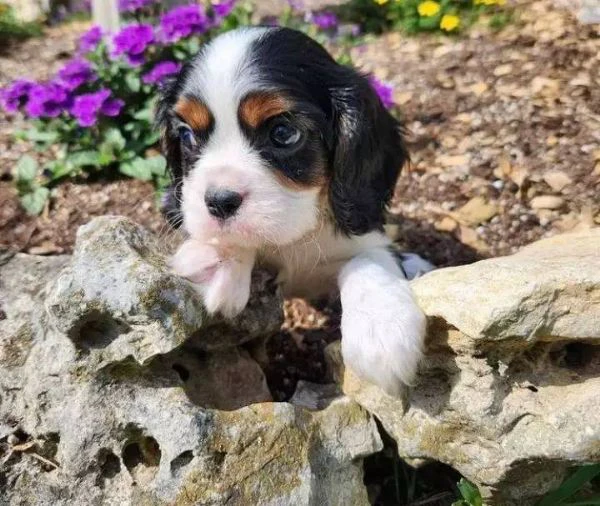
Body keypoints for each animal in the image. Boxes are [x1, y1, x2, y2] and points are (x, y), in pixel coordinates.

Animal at [155, 25, 426, 396]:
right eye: (186, 136)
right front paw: (217, 258)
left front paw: (381, 331)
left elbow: (368, 260)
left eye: (283, 133)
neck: (295, 236)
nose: (219, 201)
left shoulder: (364, 236)